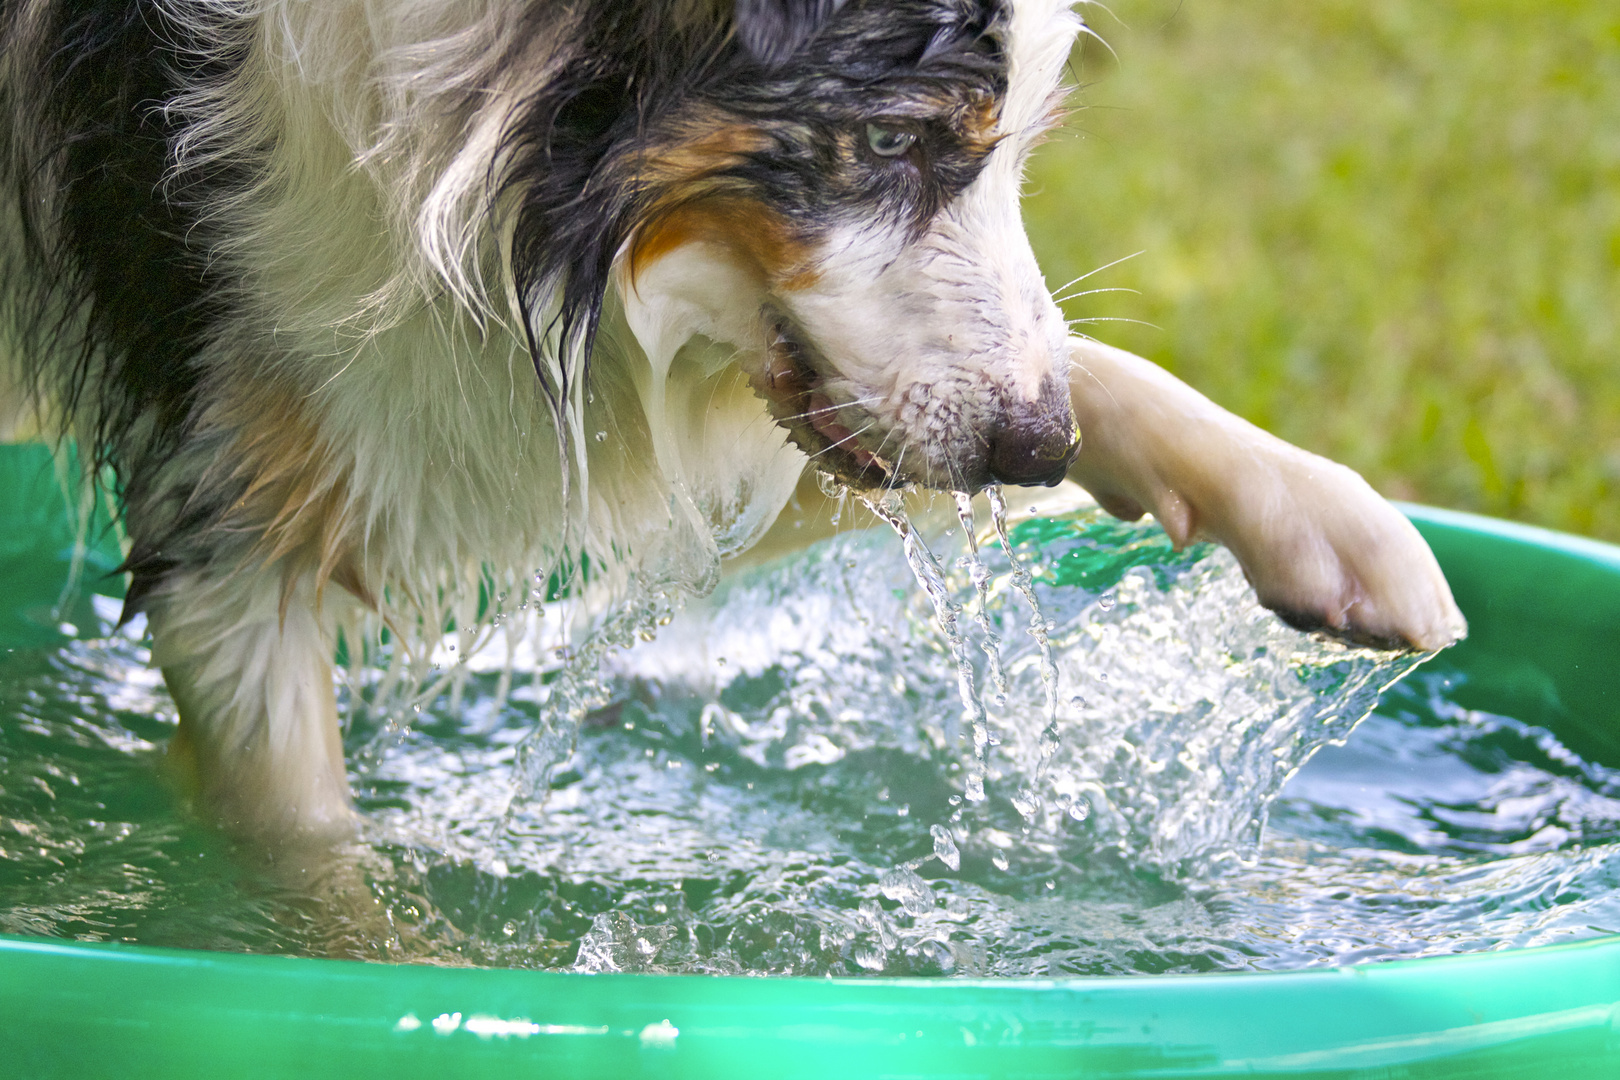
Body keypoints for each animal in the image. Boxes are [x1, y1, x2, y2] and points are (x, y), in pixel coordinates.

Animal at [0, 0, 1470, 841]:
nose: (1035, 450)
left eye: (1017, 143)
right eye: (895, 141)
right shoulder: (223, 476)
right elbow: (302, 851)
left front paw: (1320, 520)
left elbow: (1050, 373)